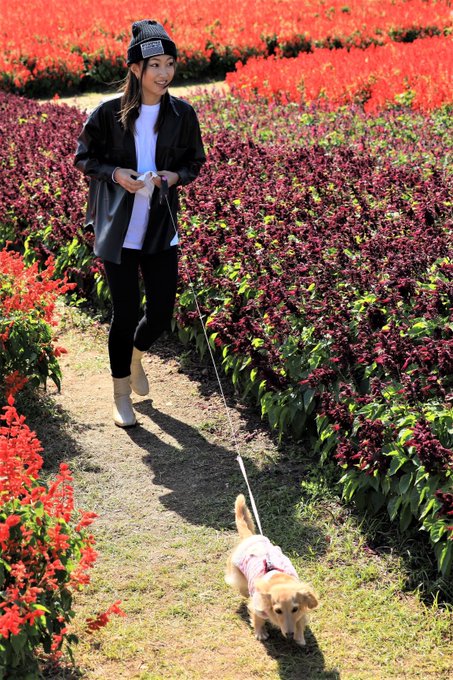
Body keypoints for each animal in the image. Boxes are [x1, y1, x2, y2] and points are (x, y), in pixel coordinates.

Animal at [225, 494, 318, 645]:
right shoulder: (257, 607)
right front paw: (260, 633)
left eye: (295, 609)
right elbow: (258, 620)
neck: (278, 580)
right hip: (237, 572)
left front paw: (300, 636)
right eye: (278, 611)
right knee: (240, 586)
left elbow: (300, 621)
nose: (290, 634)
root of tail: (251, 538)